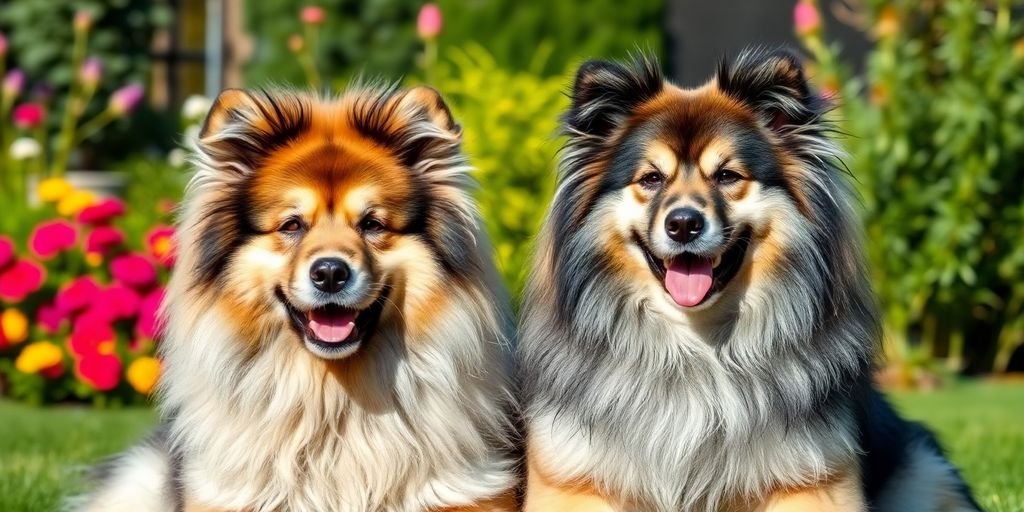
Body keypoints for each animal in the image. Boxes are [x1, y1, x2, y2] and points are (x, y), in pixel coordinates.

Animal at [520, 48, 983, 512]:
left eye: (727, 176)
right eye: (651, 178)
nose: (683, 224)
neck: (697, 345)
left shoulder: (813, 479)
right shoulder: (573, 480)